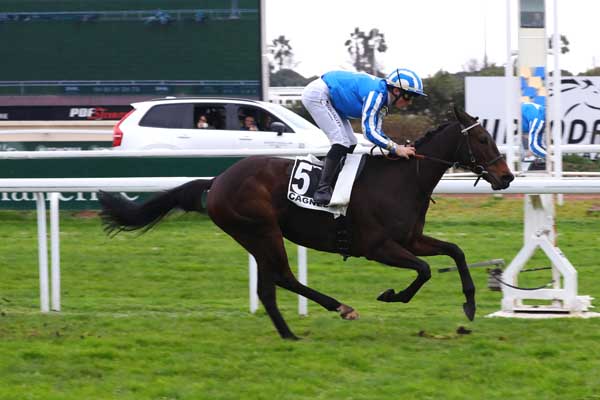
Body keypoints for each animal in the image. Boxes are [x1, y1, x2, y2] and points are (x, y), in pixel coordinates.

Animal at [99, 105, 516, 338]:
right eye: (482, 138)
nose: (507, 176)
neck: (401, 179)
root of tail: (217, 180)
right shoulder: (378, 247)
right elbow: (425, 270)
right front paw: (391, 295)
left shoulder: (411, 239)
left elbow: (455, 251)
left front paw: (469, 305)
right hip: (262, 230)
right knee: (282, 278)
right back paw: (338, 309)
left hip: (257, 237)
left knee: (269, 287)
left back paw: (289, 333)